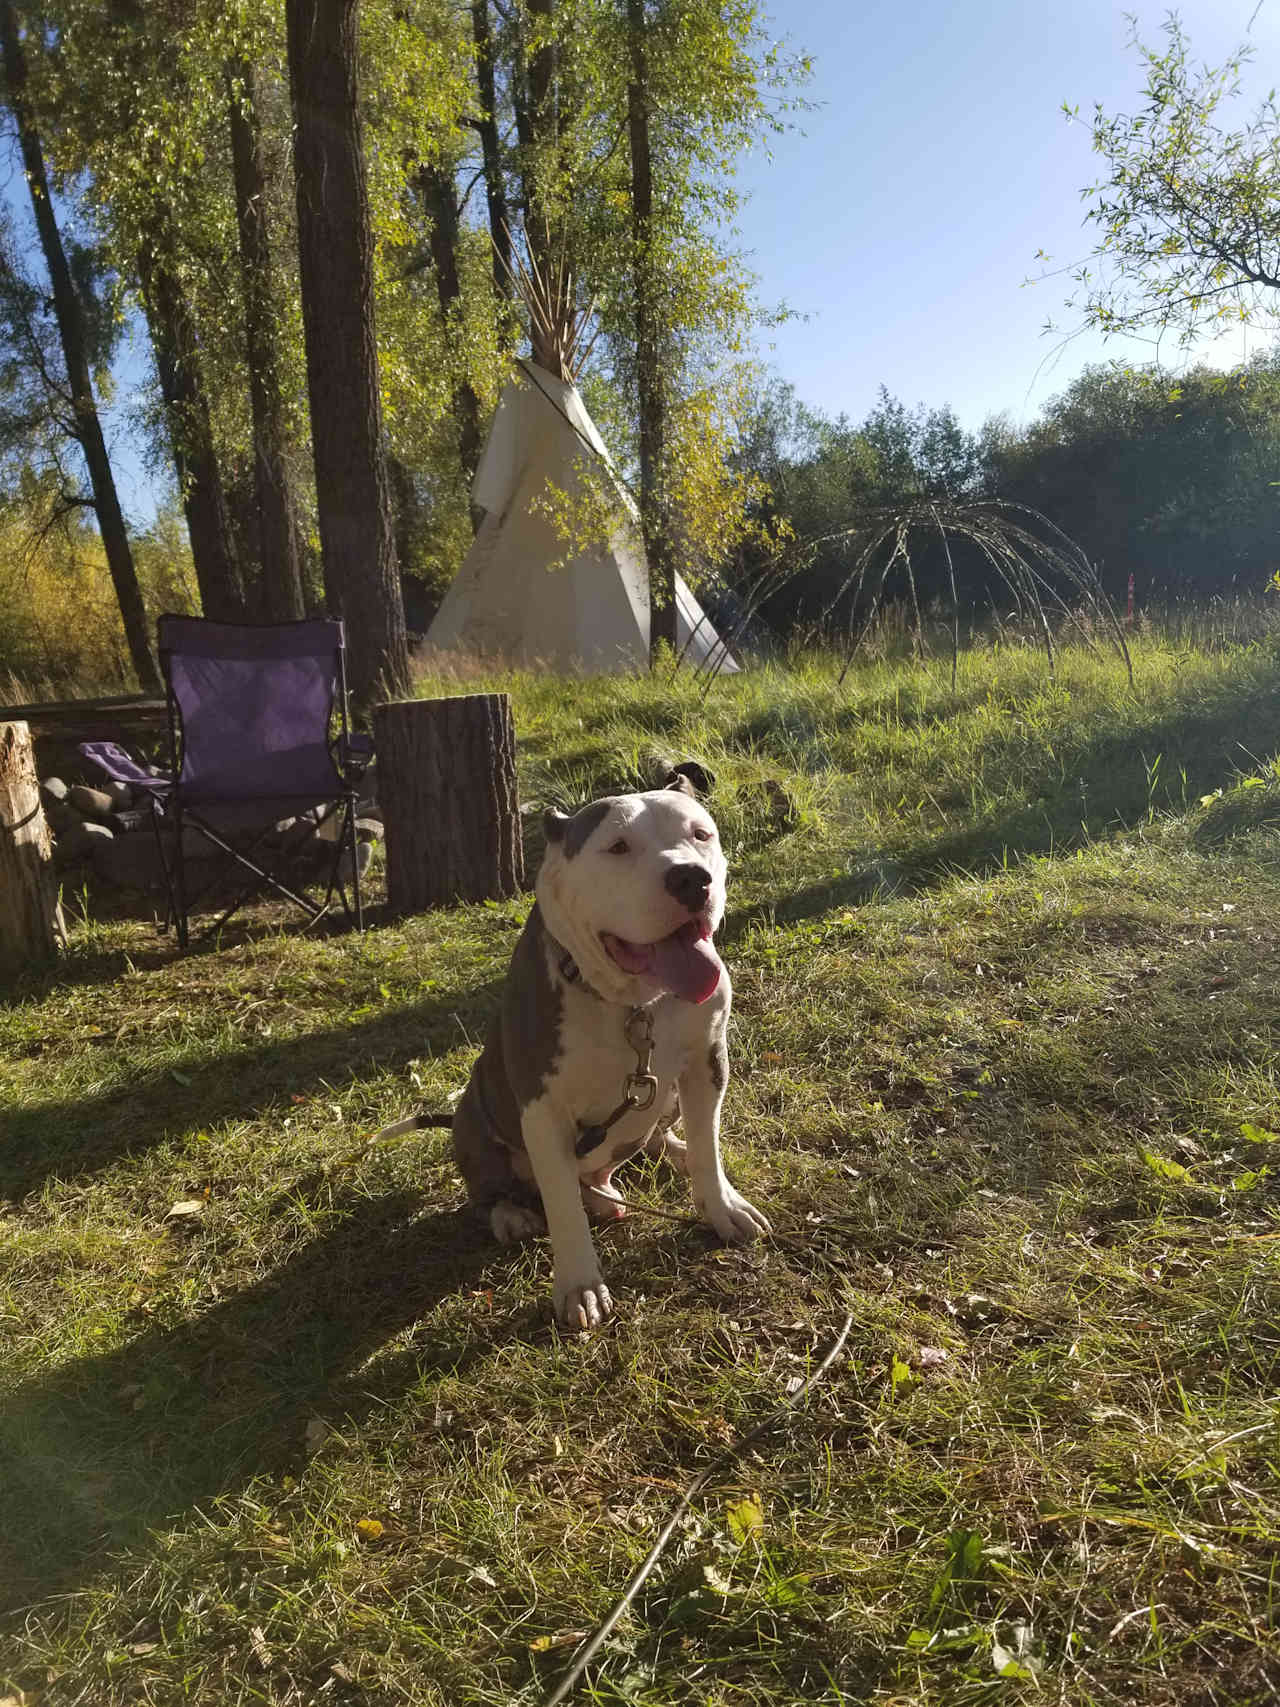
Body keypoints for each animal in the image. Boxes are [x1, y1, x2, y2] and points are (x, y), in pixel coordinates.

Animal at [453, 764, 771, 1331]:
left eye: (701, 834)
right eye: (618, 846)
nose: (691, 878)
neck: (634, 1005)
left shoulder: (706, 1063)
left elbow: (710, 1144)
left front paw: (721, 1207)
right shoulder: (543, 1108)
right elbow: (561, 1204)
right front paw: (580, 1283)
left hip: (664, 1099)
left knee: (651, 1141)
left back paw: (661, 1159)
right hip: (472, 1112)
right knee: (496, 1190)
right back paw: (516, 1213)